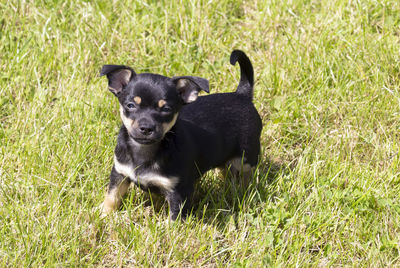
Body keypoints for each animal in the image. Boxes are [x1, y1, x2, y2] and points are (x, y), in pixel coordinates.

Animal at [100, 50, 262, 220]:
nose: (146, 128)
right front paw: (104, 215)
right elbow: (112, 196)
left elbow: (174, 218)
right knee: (226, 169)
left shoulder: (178, 191)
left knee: (246, 175)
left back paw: (244, 192)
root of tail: (242, 95)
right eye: (130, 105)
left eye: (166, 109)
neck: (144, 150)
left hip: (246, 157)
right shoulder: (119, 173)